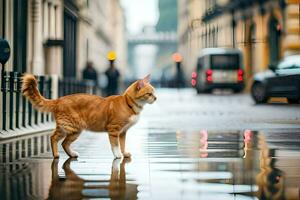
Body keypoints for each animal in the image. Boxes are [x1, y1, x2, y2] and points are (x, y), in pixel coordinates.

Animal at [21, 74, 157, 159]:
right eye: (149, 94)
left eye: (154, 92)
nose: (156, 98)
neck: (128, 104)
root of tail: (58, 100)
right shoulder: (114, 130)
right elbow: (115, 145)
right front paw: (118, 155)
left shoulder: (123, 132)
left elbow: (122, 145)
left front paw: (124, 153)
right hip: (68, 126)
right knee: (53, 138)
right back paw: (55, 155)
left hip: (75, 131)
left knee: (64, 143)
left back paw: (72, 154)